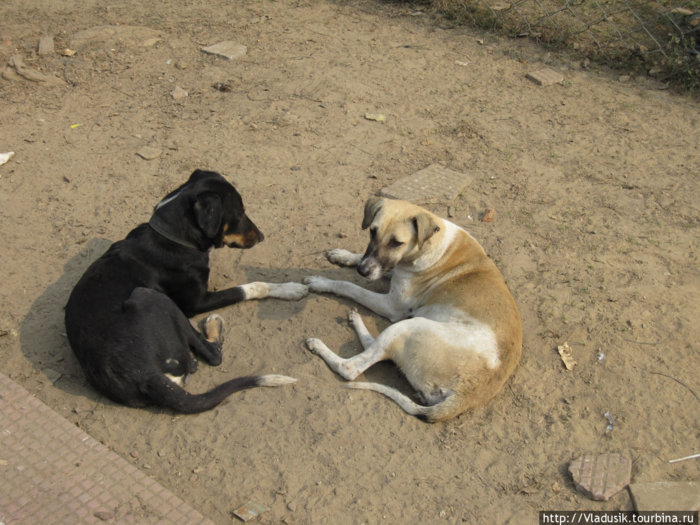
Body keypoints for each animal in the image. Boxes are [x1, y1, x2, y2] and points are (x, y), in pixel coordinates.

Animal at [65, 170, 306, 412]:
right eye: (239, 214)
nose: (262, 236)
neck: (173, 237)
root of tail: (144, 375)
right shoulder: (197, 302)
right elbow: (250, 287)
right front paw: (290, 289)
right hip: (151, 296)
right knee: (213, 355)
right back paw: (213, 325)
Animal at [304, 196, 524, 422]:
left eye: (396, 243)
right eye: (372, 231)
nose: (363, 271)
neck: (431, 245)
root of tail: (467, 394)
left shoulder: (391, 305)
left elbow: (348, 286)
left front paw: (322, 282)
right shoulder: (389, 268)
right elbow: (365, 262)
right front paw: (343, 255)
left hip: (408, 326)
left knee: (352, 367)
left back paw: (320, 346)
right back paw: (355, 320)